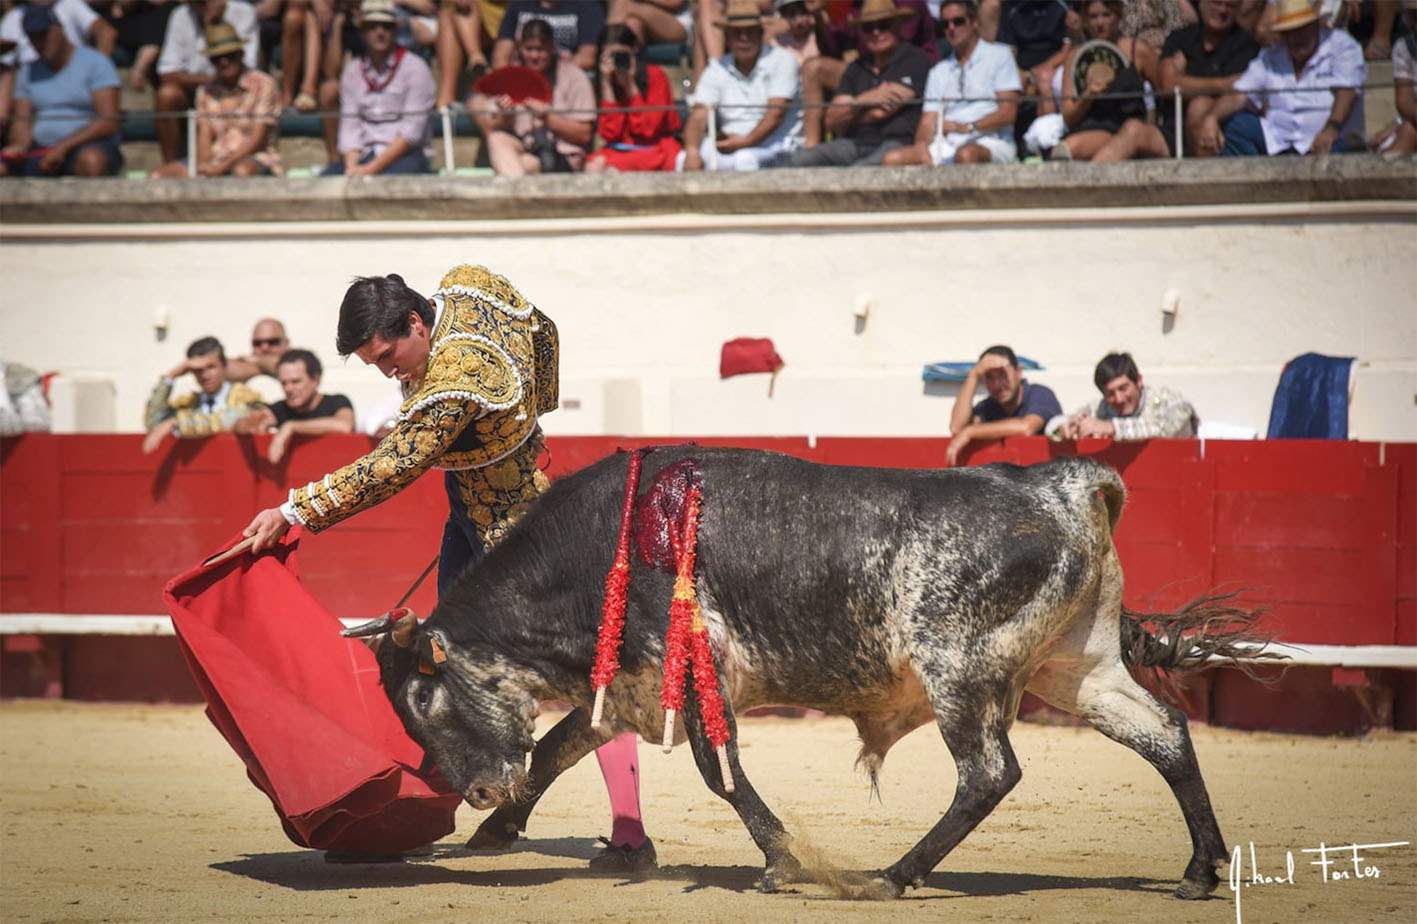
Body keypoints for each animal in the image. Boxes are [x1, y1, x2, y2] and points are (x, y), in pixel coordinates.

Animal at [340, 447, 1263, 895]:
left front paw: (782, 862)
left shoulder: (693, 673)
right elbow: (559, 745)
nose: (472, 793)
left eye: (423, 698)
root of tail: (1059, 483)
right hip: (1077, 665)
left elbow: (715, 772)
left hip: (961, 672)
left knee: (988, 773)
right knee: (1164, 734)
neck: (600, 551)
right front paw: (499, 831)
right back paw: (1197, 872)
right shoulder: (631, 687)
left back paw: (892, 877)